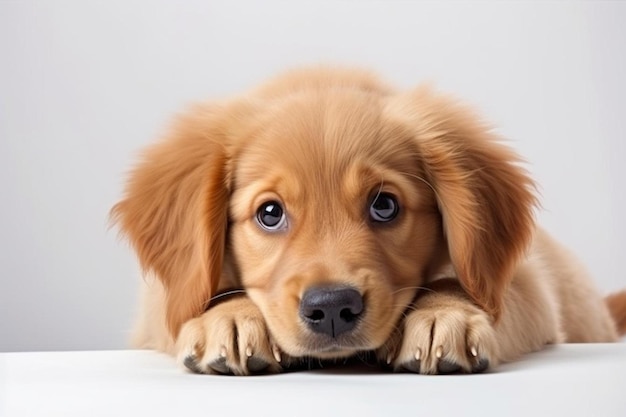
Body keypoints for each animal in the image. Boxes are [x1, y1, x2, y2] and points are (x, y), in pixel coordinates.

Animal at [112, 67, 624, 374]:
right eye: (269, 213)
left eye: (385, 205)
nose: (332, 307)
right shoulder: (155, 310)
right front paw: (230, 319)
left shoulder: (528, 287)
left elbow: (468, 286)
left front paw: (444, 316)